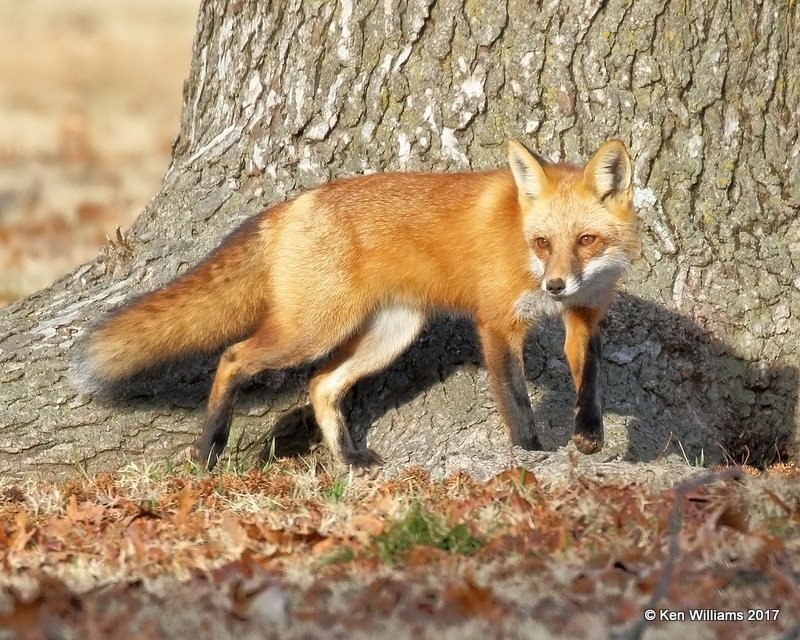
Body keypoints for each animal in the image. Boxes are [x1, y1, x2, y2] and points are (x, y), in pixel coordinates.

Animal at [73, 140, 636, 470]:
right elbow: (517, 401)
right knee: (233, 357)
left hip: (391, 334)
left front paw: (590, 436)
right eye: (542, 243)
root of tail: (290, 206)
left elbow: (591, 381)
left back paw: (349, 458)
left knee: (321, 385)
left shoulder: (586, 316)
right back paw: (210, 446)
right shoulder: (497, 322)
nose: (556, 286)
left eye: (585, 240)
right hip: (312, 330)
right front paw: (530, 456)